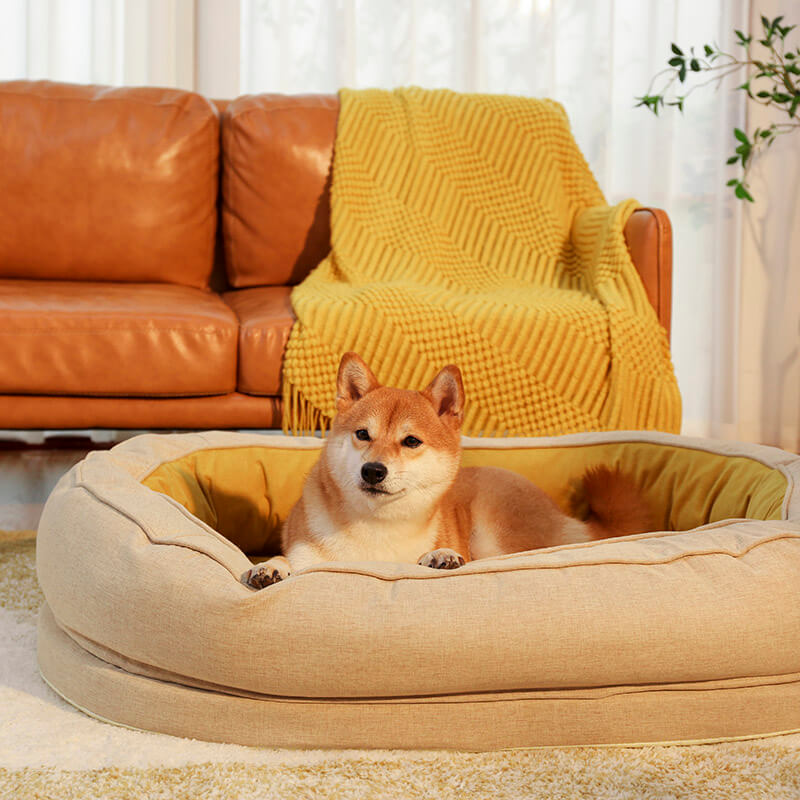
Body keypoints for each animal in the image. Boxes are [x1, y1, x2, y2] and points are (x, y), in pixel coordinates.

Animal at [245, 352, 656, 588]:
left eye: (411, 441)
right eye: (363, 434)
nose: (373, 471)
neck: (376, 529)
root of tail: (561, 515)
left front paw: (440, 556)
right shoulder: (307, 554)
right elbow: (285, 561)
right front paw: (269, 568)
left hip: (493, 531)